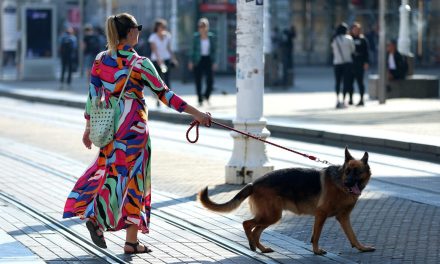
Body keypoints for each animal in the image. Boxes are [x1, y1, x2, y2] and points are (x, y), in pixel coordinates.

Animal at [199, 147, 374, 255]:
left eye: (357, 172)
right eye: (347, 171)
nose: (348, 183)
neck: (340, 184)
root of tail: (254, 183)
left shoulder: (343, 217)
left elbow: (352, 235)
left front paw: (361, 248)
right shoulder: (321, 215)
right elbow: (316, 236)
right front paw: (316, 251)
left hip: (272, 216)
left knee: (255, 231)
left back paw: (261, 248)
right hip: (271, 215)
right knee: (247, 224)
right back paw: (252, 245)